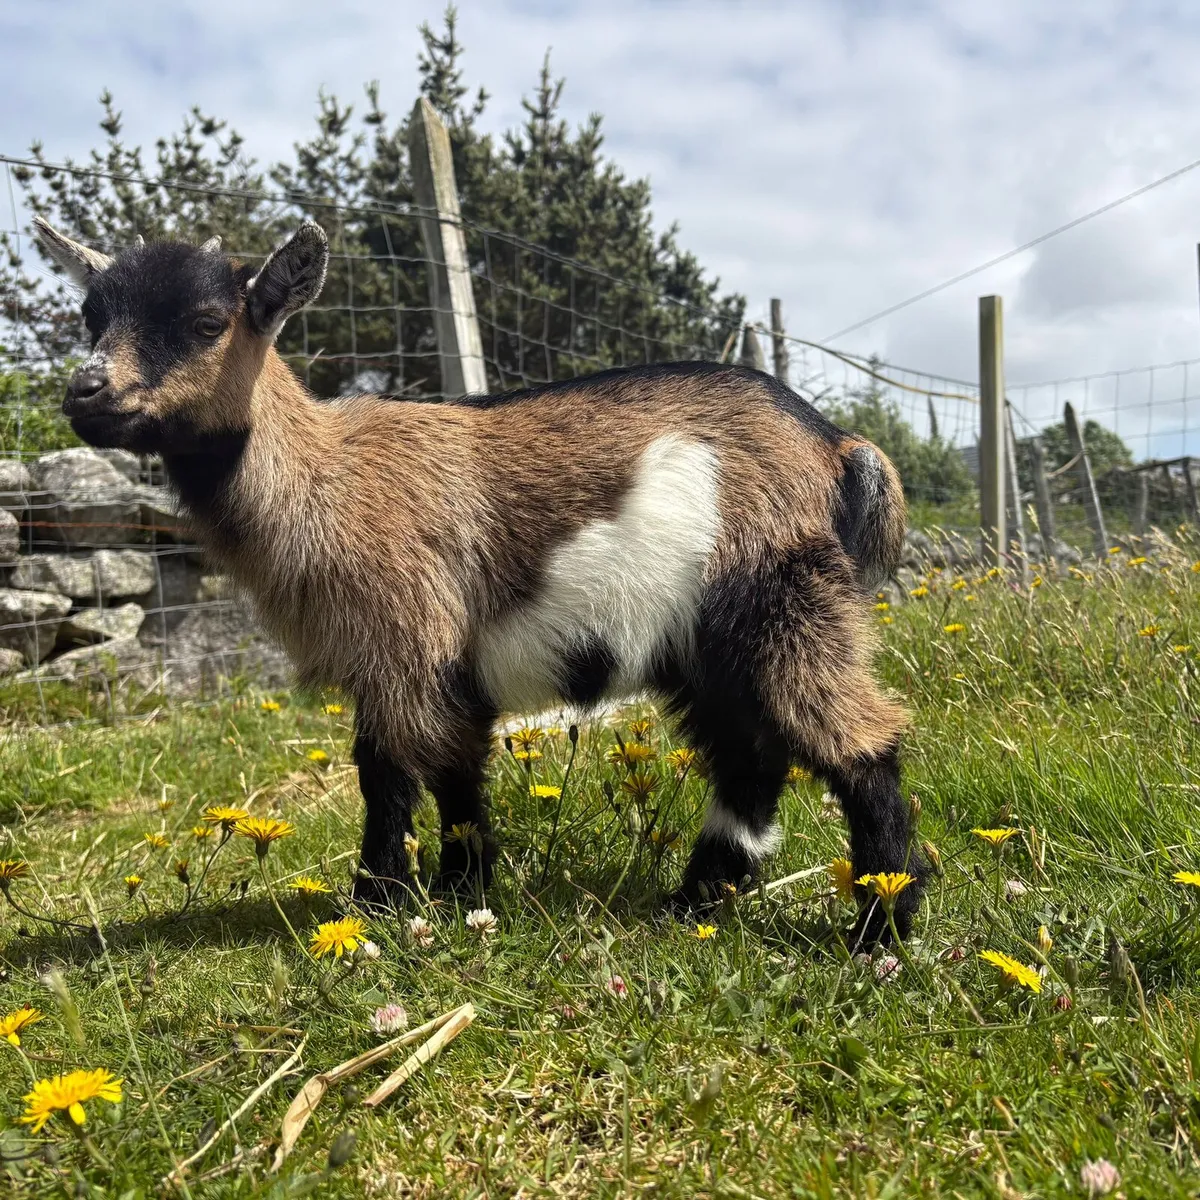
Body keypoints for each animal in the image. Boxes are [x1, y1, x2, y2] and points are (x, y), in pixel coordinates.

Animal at [35, 217, 925, 942]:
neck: (325, 479)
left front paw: (387, 901)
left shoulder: (404, 635)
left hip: (782, 596)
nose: (85, 393)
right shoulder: (430, 663)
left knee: (858, 741)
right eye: (91, 318)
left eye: (207, 322)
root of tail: (836, 444)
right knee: (750, 758)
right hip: (706, 642)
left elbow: (391, 773)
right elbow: (449, 769)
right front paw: (457, 890)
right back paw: (694, 905)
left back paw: (880, 928)